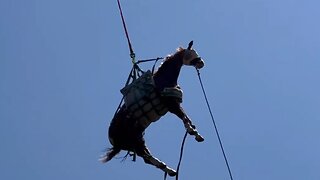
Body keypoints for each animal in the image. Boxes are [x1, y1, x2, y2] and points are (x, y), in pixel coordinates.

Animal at [100, 41, 205, 176]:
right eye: (192, 52)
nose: (201, 63)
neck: (163, 79)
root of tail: (113, 140)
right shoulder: (171, 105)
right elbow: (183, 117)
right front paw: (193, 132)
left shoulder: (175, 103)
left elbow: (186, 116)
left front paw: (195, 132)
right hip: (134, 143)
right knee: (147, 158)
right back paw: (168, 169)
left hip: (137, 140)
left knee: (147, 158)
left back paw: (169, 169)